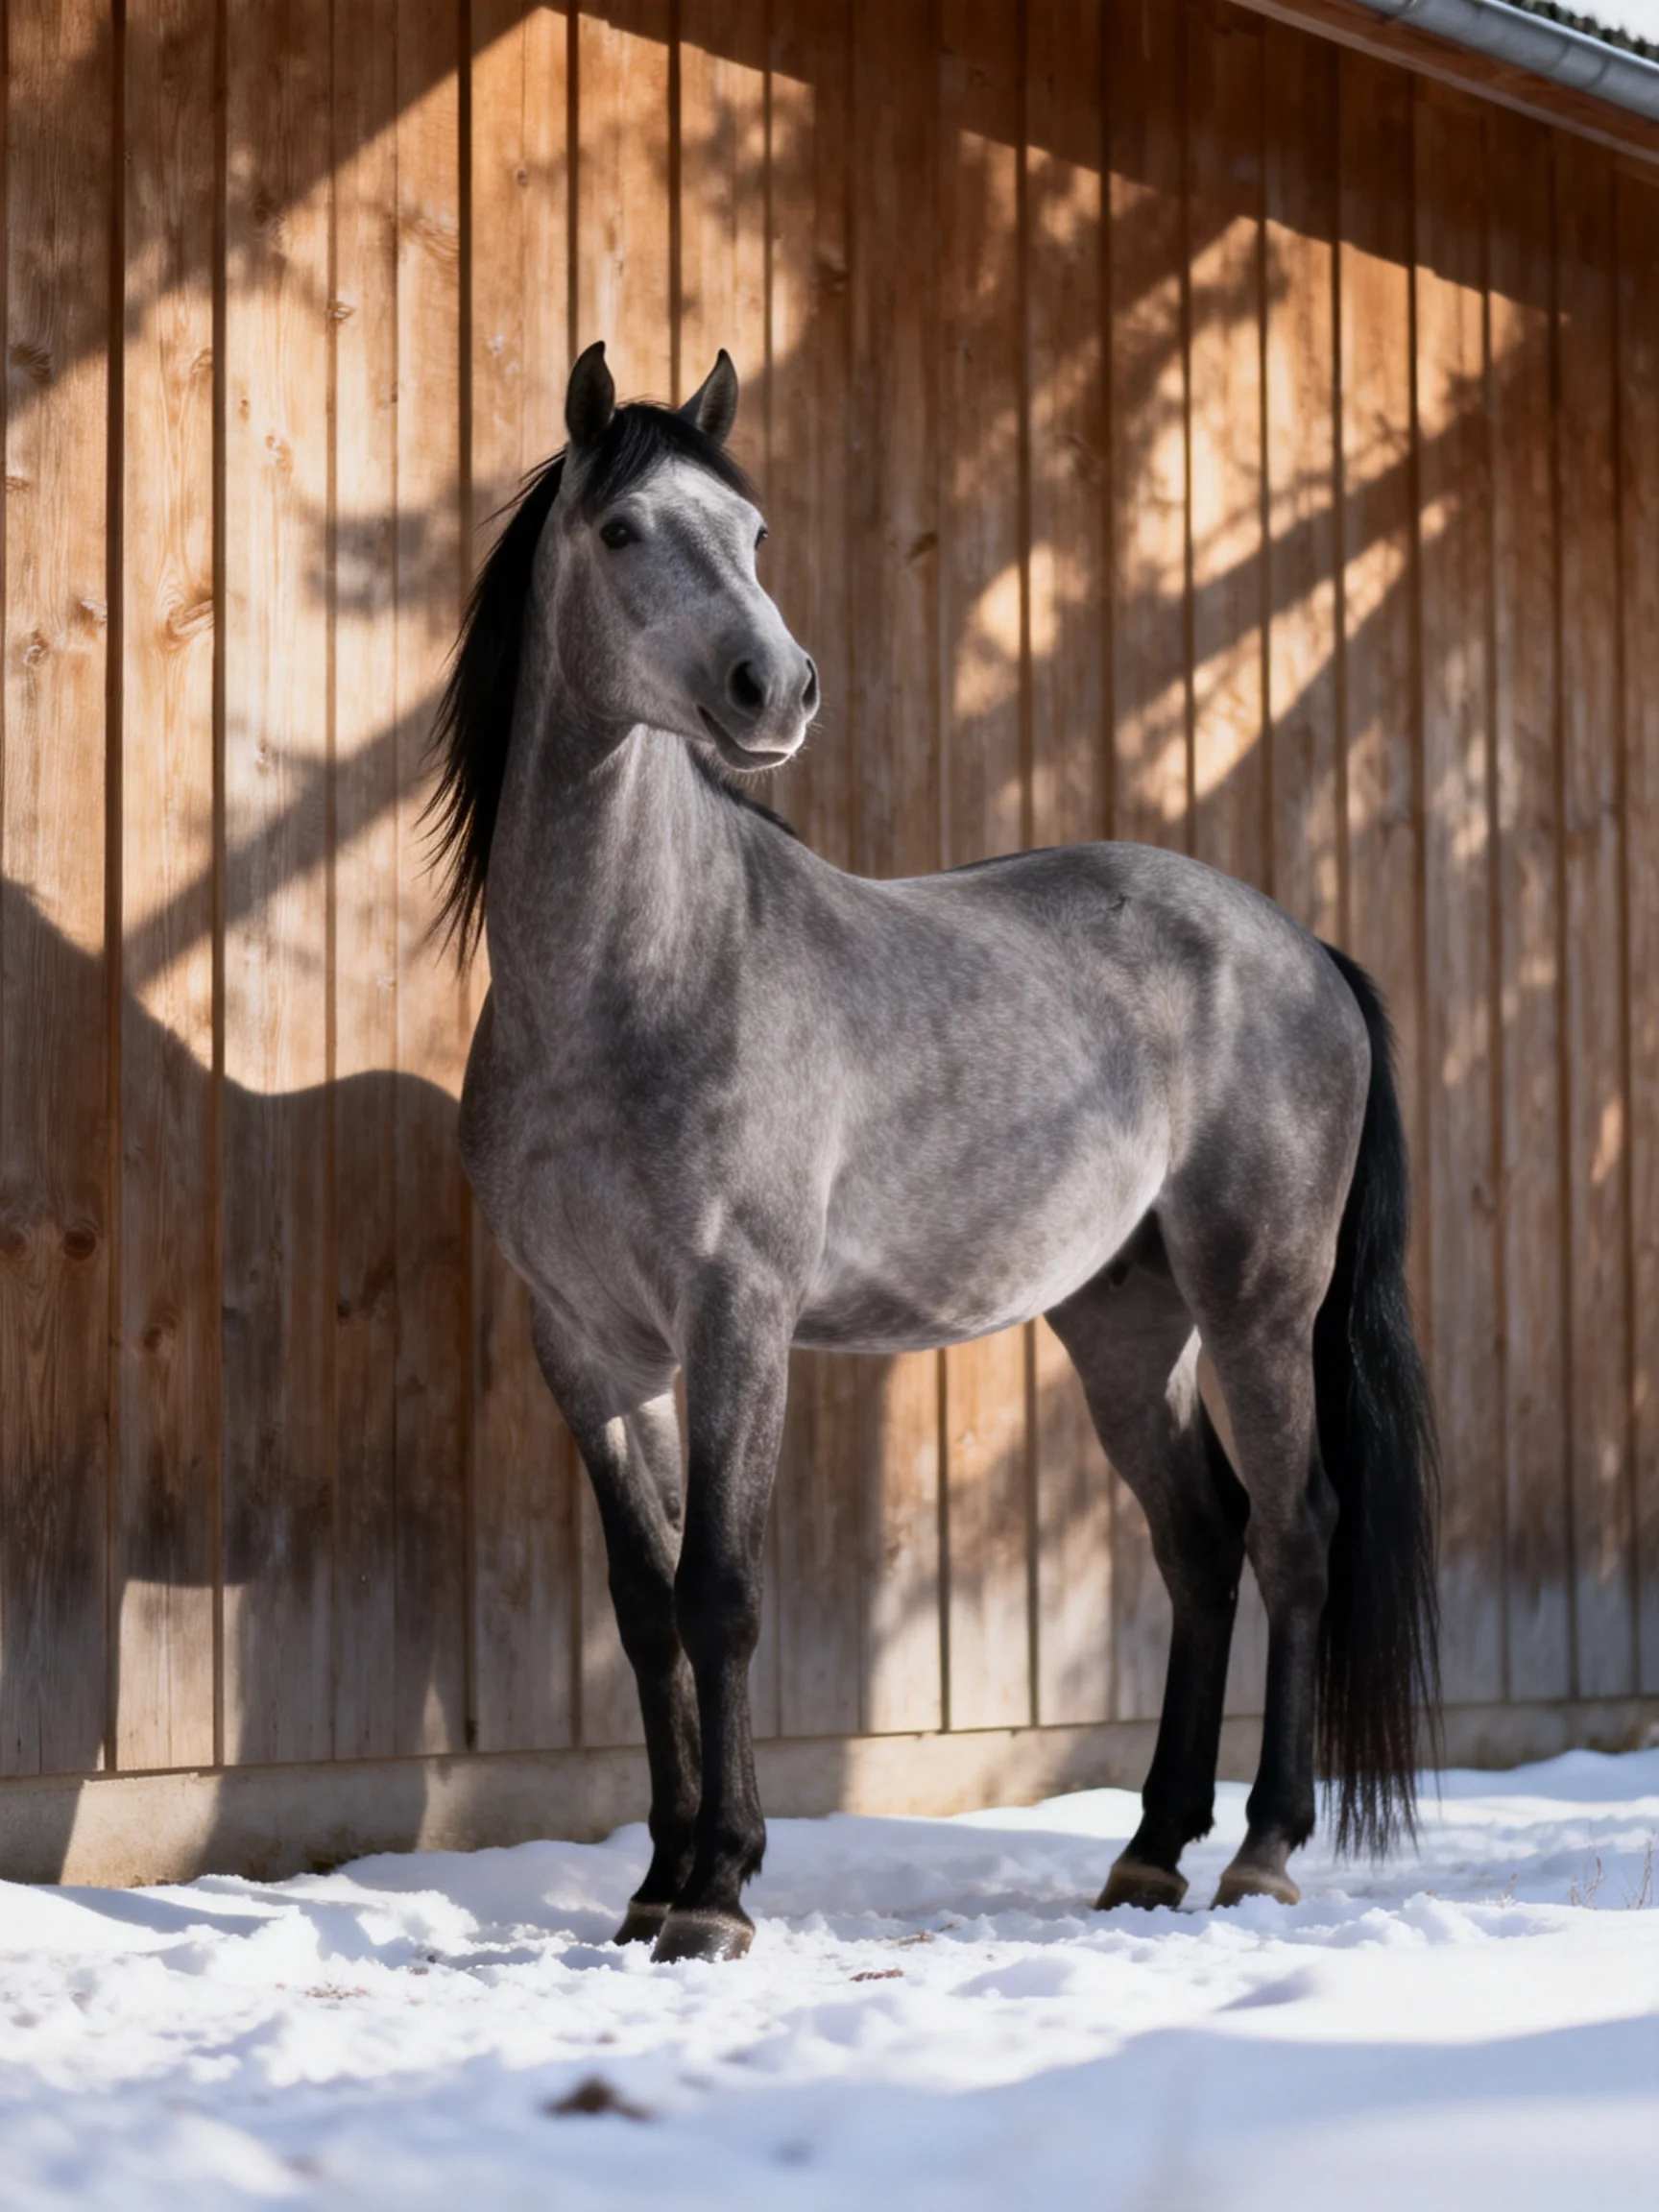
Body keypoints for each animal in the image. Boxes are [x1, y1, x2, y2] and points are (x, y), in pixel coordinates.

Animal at [430, 340, 1439, 1964]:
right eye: (623, 530)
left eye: (754, 531)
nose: (775, 687)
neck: (637, 977)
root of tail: (1305, 951)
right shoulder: (586, 1349)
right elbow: (644, 1602)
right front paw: (653, 1880)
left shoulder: (736, 1318)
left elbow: (721, 1591)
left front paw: (717, 1890)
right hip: (1123, 1325)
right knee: (1202, 1544)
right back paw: (1150, 1850)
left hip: (1258, 1310)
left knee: (1297, 1536)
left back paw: (1264, 1853)